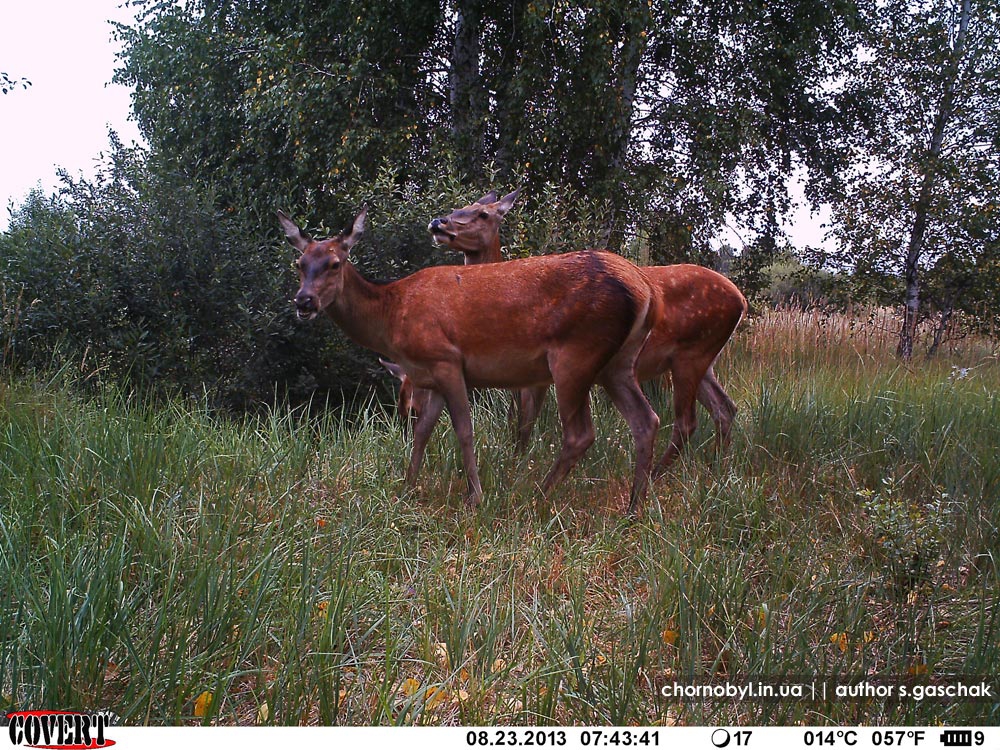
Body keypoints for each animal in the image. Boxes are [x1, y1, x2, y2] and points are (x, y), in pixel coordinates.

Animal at [280, 209, 664, 516]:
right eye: (299, 264)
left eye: (335, 263)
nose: (304, 301)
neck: (392, 316)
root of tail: (644, 289)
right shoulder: (429, 376)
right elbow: (423, 433)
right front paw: (406, 489)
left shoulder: (446, 358)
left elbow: (464, 430)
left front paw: (474, 496)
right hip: (617, 363)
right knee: (646, 420)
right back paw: (634, 506)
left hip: (575, 354)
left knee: (580, 433)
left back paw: (534, 495)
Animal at [410, 188, 748, 476]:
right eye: (461, 206)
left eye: (483, 214)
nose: (438, 222)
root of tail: (741, 299)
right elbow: (517, 421)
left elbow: (524, 422)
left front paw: (517, 466)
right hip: (703, 361)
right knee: (724, 408)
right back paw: (717, 467)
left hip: (690, 354)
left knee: (687, 421)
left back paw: (660, 475)